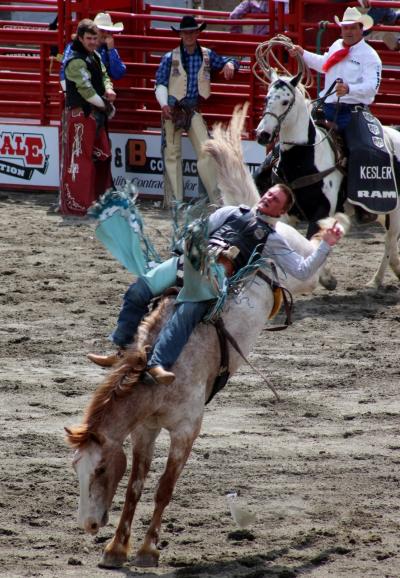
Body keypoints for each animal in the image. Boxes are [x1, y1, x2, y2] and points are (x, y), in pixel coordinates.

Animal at [255, 69, 400, 288]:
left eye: (285, 102)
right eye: (266, 99)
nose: (262, 134)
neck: (303, 160)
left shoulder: (320, 211)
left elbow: (312, 243)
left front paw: (326, 278)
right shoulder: (286, 213)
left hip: (396, 211)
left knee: (389, 243)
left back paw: (376, 281)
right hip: (384, 213)